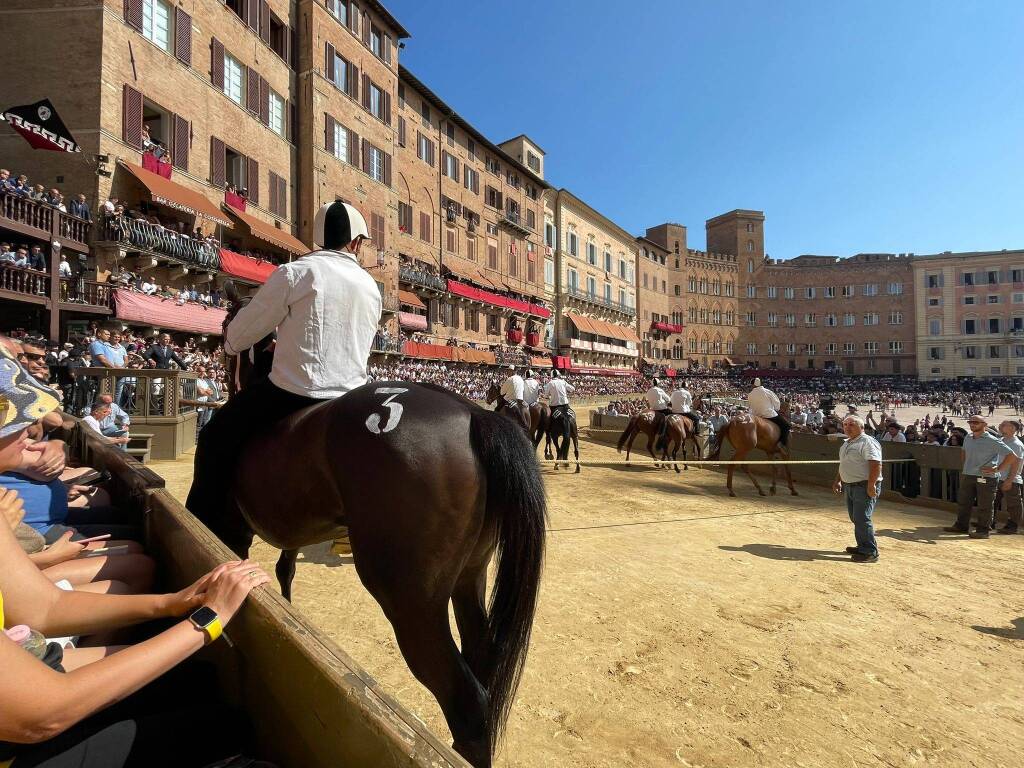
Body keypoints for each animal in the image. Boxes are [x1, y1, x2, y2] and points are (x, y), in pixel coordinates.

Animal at [198, 284, 544, 768]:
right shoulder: (297, 530)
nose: (223, 346)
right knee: (481, 658)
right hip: (471, 574)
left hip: (409, 598)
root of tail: (476, 415)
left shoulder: (234, 531)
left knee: (466, 701)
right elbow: (286, 568)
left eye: (228, 324)